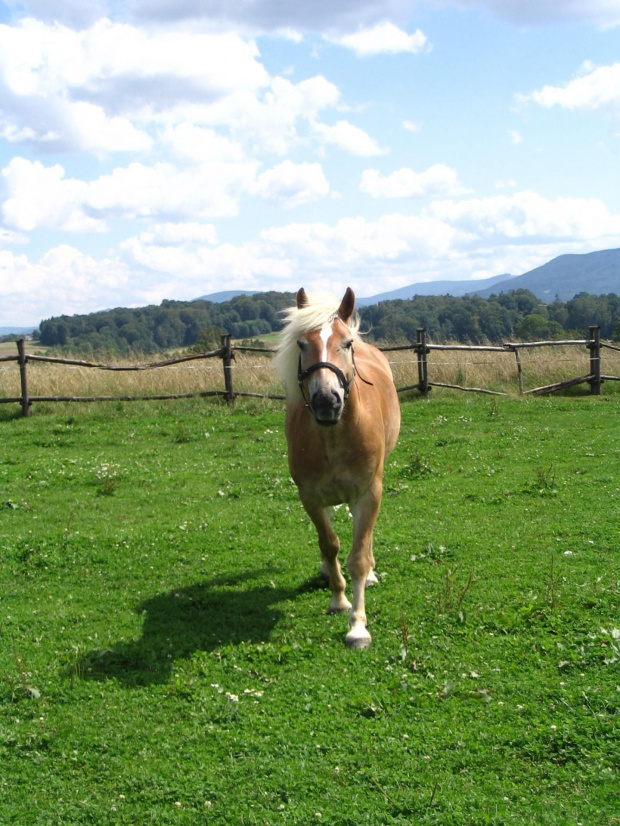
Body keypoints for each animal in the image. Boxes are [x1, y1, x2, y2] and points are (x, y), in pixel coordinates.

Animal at [274, 286, 400, 648]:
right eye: (302, 344)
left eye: (346, 343)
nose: (327, 402)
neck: (335, 435)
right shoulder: (310, 498)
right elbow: (329, 545)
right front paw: (338, 599)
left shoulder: (369, 494)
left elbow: (358, 557)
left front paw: (358, 625)